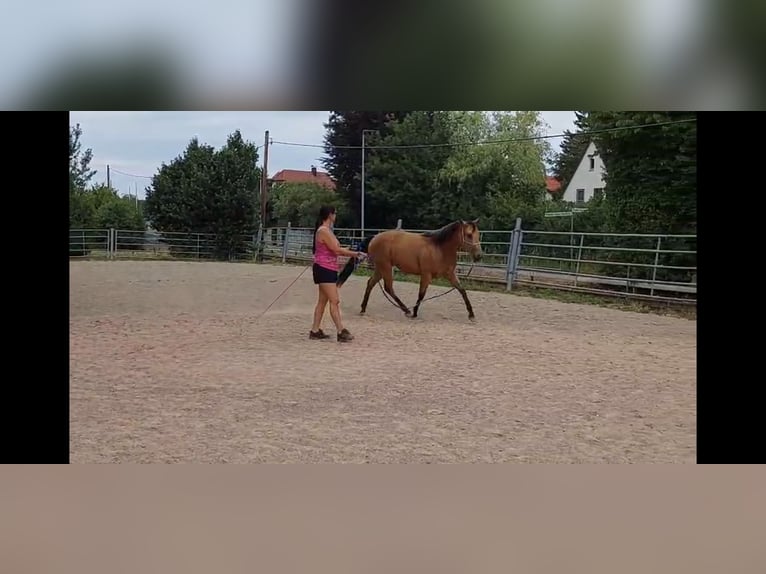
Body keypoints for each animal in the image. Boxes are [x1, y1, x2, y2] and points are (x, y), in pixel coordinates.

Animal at [336, 219, 483, 320]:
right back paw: (406, 310)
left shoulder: (450, 275)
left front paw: (471, 314)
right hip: (385, 267)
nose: (479, 256)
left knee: (371, 283)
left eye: (477, 234)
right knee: (388, 288)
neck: (439, 249)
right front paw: (415, 313)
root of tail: (375, 237)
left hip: (380, 268)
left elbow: (462, 290)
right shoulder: (426, 275)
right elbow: (421, 294)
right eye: (469, 235)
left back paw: (363, 309)